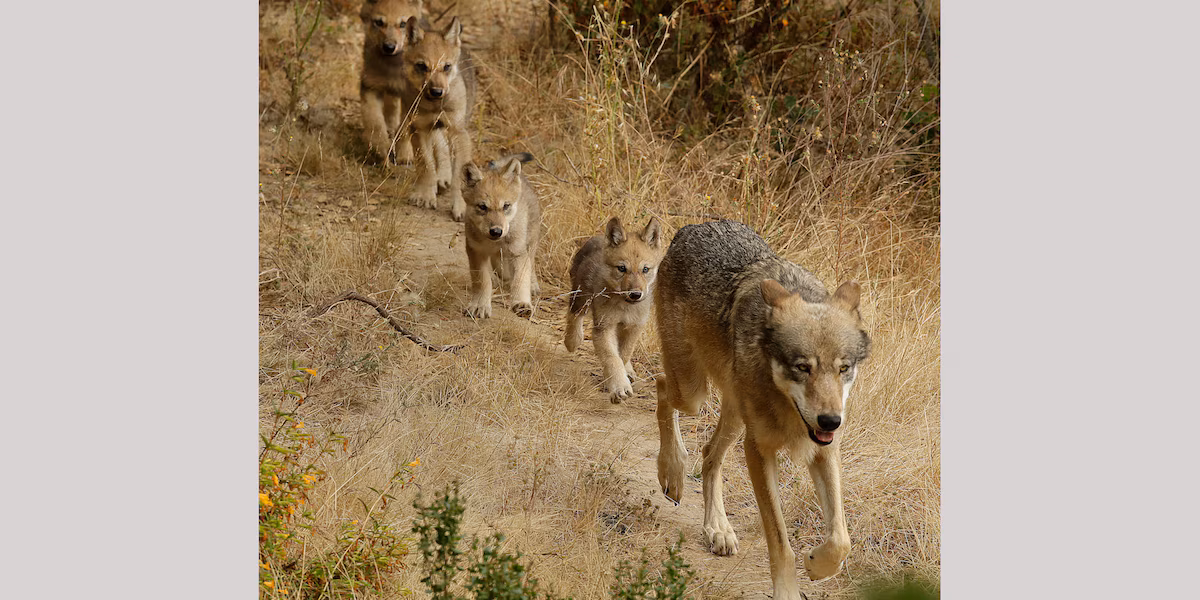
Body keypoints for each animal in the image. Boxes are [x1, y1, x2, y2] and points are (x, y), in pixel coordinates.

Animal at [358, 0, 426, 165]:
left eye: (402, 24)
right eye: (379, 22)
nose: (389, 47)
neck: (392, 68)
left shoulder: (413, 98)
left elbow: (404, 129)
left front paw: (404, 155)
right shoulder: (370, 87)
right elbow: (375, 122)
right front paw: (381, 148)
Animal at [400, 15, 477, 221]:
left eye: (447, 67)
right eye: (422, 66)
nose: (437, 92)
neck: (435, 106)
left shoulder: (459, 132)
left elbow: (459, 176)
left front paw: (460, 207)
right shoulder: (419, 129)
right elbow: (426, 165)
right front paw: (426, 195)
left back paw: (443, 179)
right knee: (439, 148)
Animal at [461, 153, 541, 318]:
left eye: (506, 206)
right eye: (482, 207)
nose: (496, 231)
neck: (495, 243)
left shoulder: (518, 253)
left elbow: (520, 279)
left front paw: (521, 303)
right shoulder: (476, 252)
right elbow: (482, 281)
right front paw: (480, 305)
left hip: (530, 243)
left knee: (531, 264)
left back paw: (533, 285)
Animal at [564, 217, 664, 403]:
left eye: (645, 269)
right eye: (622, 268)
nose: (635, 294)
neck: (625, 307)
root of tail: (596, 237)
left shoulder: (634, 327)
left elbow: (623, 355)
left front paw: (615, 380)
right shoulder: (604, 327)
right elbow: (613, 358)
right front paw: (619, 387)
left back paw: (630, 372)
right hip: (581, 298)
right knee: (574, 316)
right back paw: (572, 341)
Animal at [653, 220, 870, 599]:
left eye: (843, 368)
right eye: (803, 367)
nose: (831, 420)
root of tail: (693, 227)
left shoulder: (824, 450)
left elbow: (841, 540)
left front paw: (816, 565)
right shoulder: (759, 451)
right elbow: (780, 542)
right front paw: (786, 590)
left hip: (734, 417)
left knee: (709, 454)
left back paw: (718, 528)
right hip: (693, 393)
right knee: (662, 387)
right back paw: (673, 473)